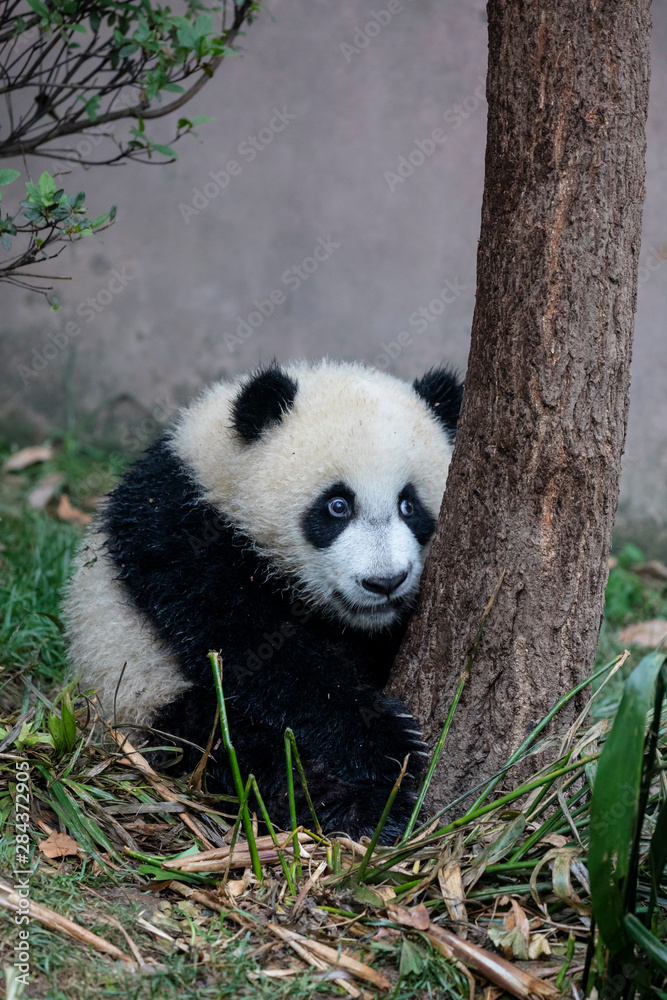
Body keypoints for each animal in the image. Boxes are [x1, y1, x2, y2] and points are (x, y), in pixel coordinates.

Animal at [64, 359, 462, 842]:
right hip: (140, 689)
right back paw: (356, 807)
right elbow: (248, 648)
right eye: (337, 505)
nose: (384, 582)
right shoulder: (180, 532)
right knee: (234, 743)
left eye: (409, 505)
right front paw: (384, 736)